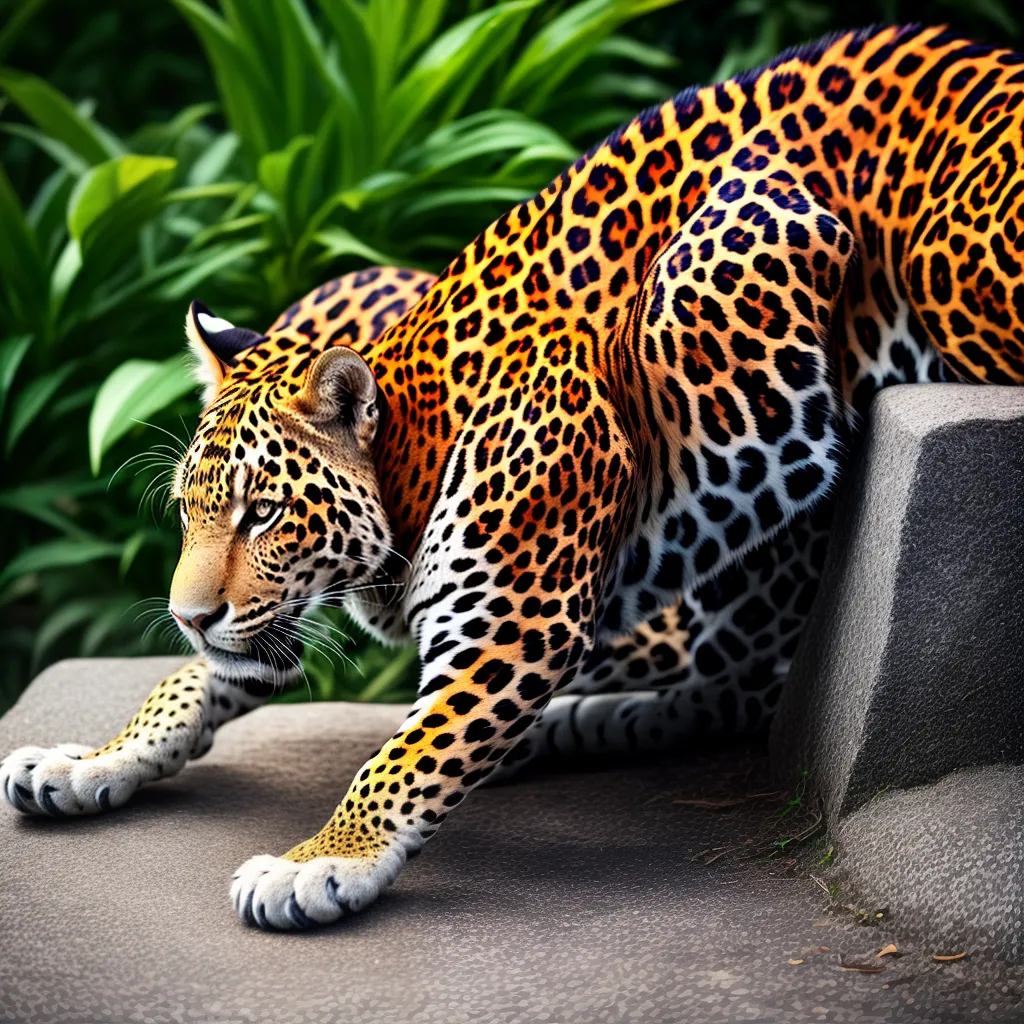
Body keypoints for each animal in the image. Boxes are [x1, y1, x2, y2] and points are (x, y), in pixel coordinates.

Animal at [5, 23, 1024, 930]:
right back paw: (584, 719)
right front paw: (86, 760)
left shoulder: (518, 620)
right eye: (191, 512)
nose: (188, 614)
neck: (412, 453)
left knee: (738, 682)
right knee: (724, 676)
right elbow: (192, 683)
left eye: (265, 513)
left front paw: (321, 861)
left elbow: (409, 752)